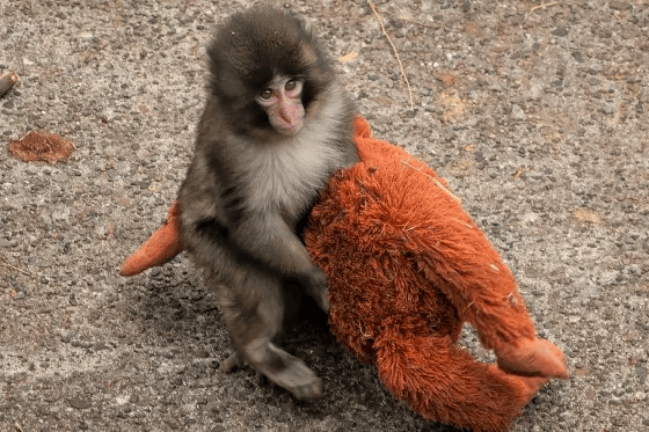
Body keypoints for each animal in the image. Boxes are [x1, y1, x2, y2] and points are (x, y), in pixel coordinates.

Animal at [177, 8, 358, 400]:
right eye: (266, 94)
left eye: (291, 86)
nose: (290, 114)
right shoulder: (228, 152)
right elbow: (250, 220)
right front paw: (313, 276)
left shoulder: (335, 108)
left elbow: (347, 167)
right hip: (203, 242)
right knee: (260, 291)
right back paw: (259, 352)